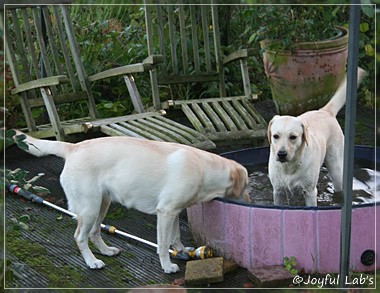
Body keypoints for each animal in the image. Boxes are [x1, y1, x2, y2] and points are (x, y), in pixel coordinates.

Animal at [12, 133, 249, 274]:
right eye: (246, 186)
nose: (250, 201)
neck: (204, 169)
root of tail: (73, 147)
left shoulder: (173, 211)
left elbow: (176, 237)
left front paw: (183, 250)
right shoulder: (165, 211)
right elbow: (163, 244)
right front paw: (167, 265)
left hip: (102, 204)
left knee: (94, 233)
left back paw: (106, 251)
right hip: (89, 207)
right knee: (80, 236)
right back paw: (92, 262)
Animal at [266, 67, 366, 206]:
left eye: (293, 137)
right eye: (275, 136)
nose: (281, 154)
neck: (289, 167)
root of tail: (324, 111)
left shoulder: (310, 192)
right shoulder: (278, 192)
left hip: (336, 167)